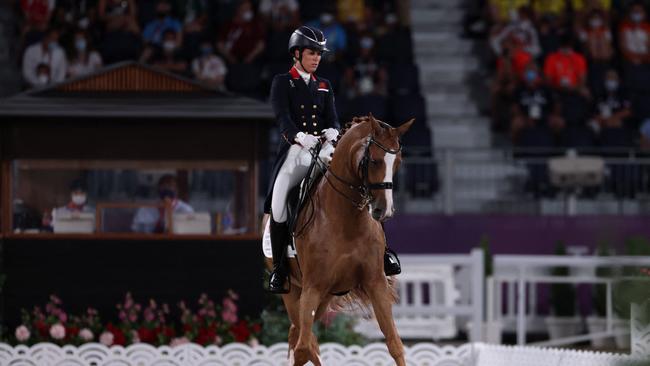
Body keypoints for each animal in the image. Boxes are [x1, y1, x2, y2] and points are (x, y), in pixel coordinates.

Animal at [264, 115, 410, 366]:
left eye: (398, 162)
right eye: (373, 161)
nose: (384, 211)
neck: (345, 220)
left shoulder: (376, 283)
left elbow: (395, 343)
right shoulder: (312, 288)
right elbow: (303, 349)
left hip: (325, 296)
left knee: (300, 335)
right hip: (294, 292)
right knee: (303, 339)